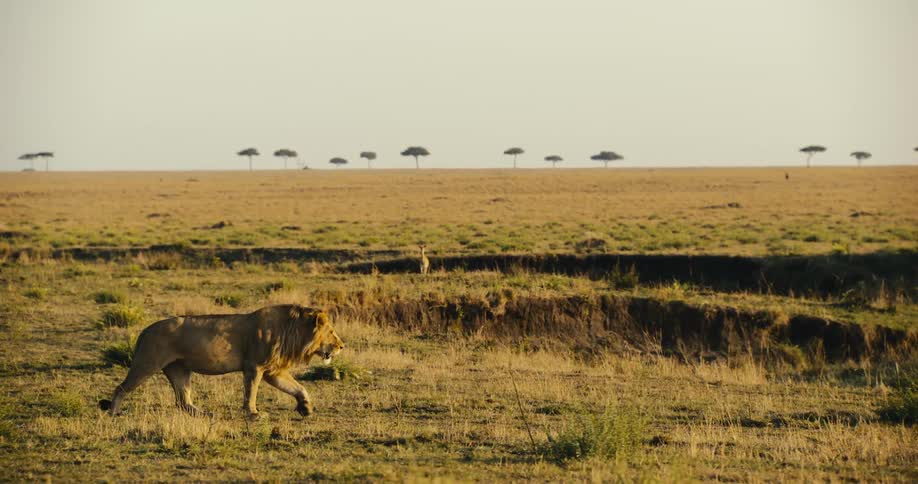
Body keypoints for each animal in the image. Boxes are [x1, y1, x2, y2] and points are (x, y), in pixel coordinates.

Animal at [99, 304, 344, 419]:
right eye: (332, 332)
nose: (342, 346)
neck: (292, 331)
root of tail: (144, 330)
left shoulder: (273, 371)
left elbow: (298, 387)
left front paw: (306, 408)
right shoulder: (254, 366)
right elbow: (250, 392)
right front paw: (253, 414)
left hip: (179, 369)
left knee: (183, 401)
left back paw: (206, 414)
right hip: (147, 364)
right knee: (121, 388)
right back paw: (113, 412)